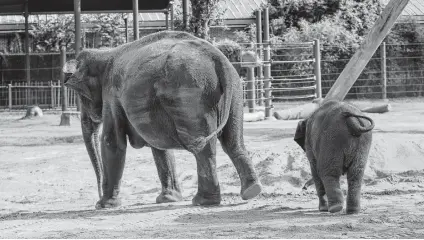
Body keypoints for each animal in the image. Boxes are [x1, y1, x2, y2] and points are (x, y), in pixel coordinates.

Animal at [63, 31, 262, 209]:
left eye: (81, 96)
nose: (96, 197)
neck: (105, 54)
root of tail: (218, 58)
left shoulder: (112, 95)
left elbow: (112, 142)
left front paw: (104, 205)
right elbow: (159, 146)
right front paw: (168, 199)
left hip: (191, 93)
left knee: (202, 148)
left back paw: (203, 201)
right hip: (234, 92)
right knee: (233, 142)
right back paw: (251, 191)